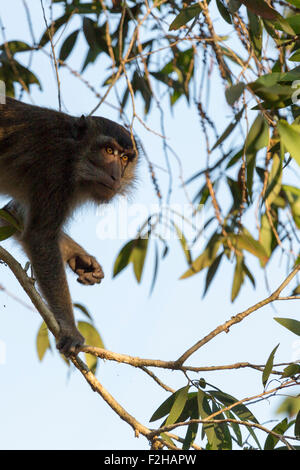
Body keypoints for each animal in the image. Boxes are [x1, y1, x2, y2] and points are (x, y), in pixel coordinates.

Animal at [0, 98, 138, 356]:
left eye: (125, 158)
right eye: (109, 151)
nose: (116, 176)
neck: (74, 155)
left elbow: (14, 217)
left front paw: (79, 257)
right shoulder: (54, 173)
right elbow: (40, 236)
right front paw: (69, 328)